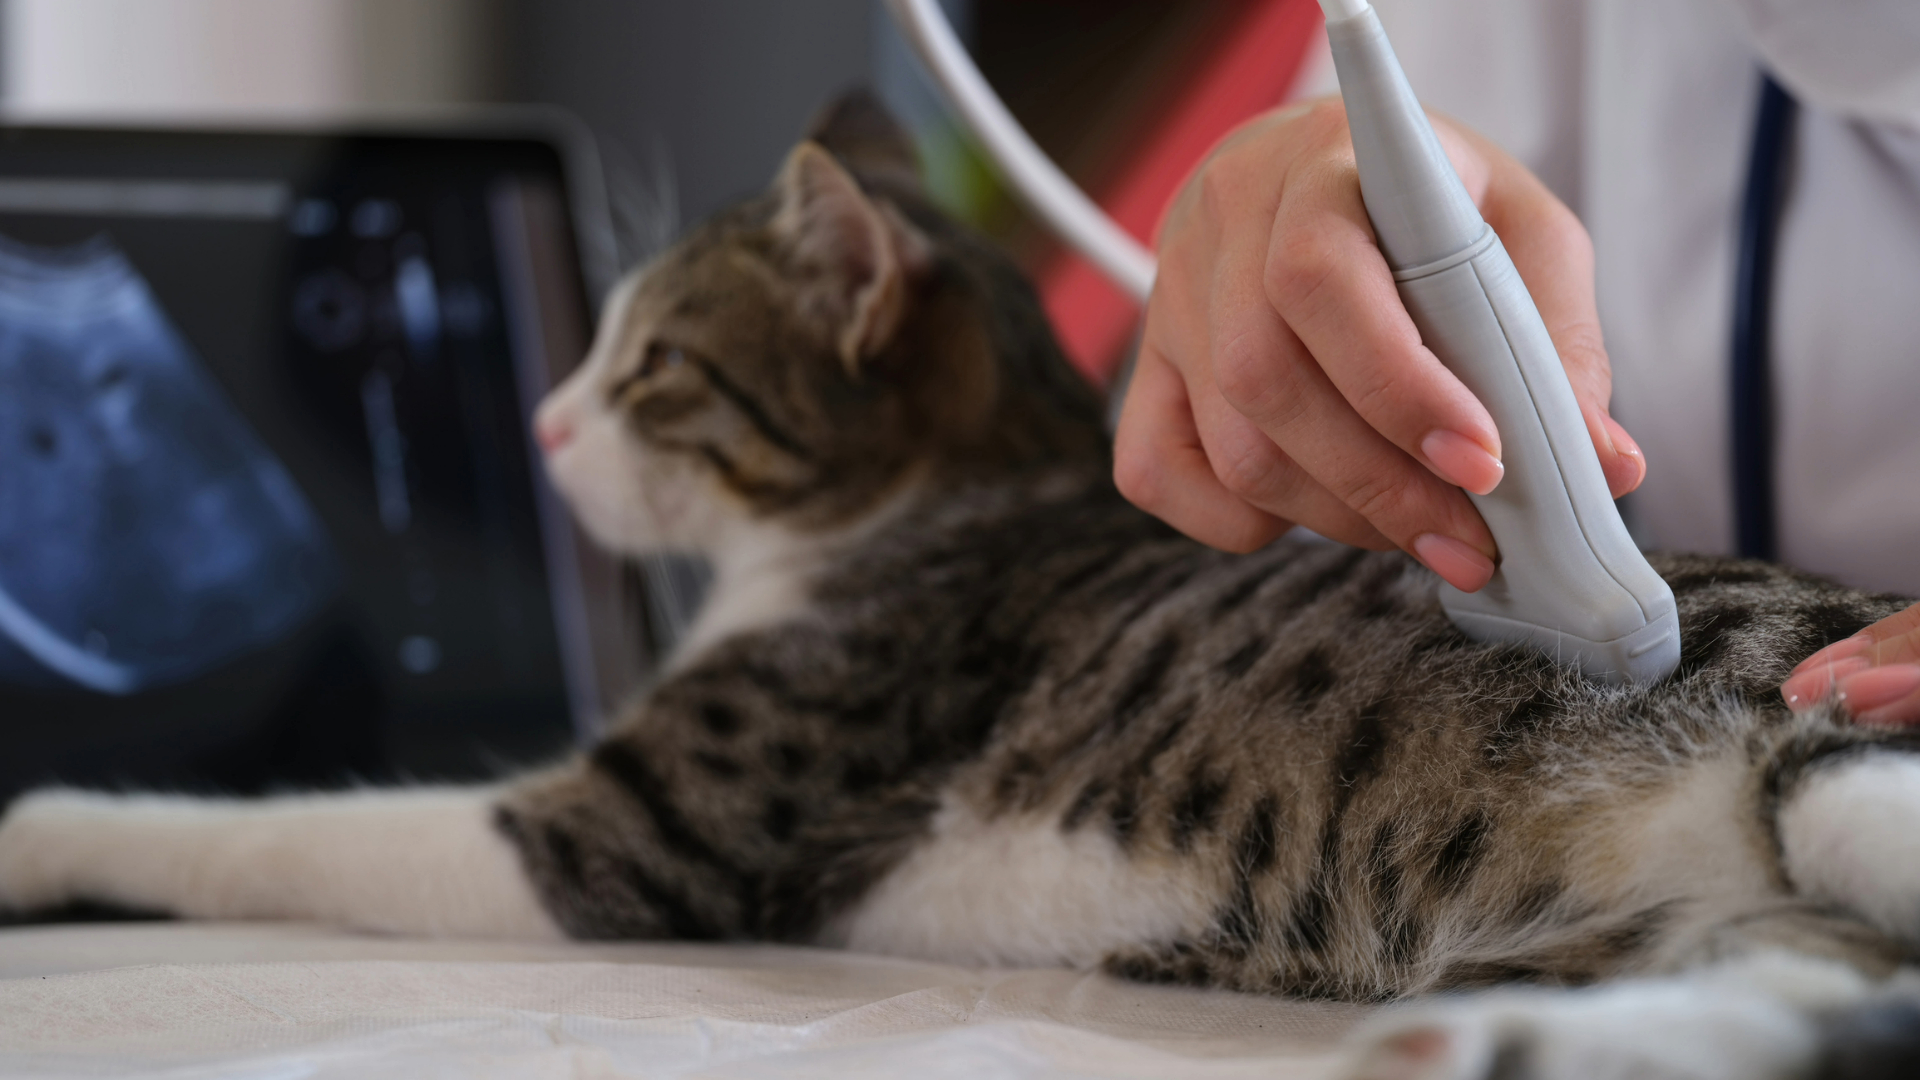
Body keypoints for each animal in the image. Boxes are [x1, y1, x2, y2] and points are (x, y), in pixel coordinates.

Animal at [3, 94, 1920, 1076]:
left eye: (650, 369)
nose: (541, 418)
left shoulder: (638, 835)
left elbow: (286, 827)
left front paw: (46, 825)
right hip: (1732, 914)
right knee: (1822, 987)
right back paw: (1494, 1047)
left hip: (1837, 755)